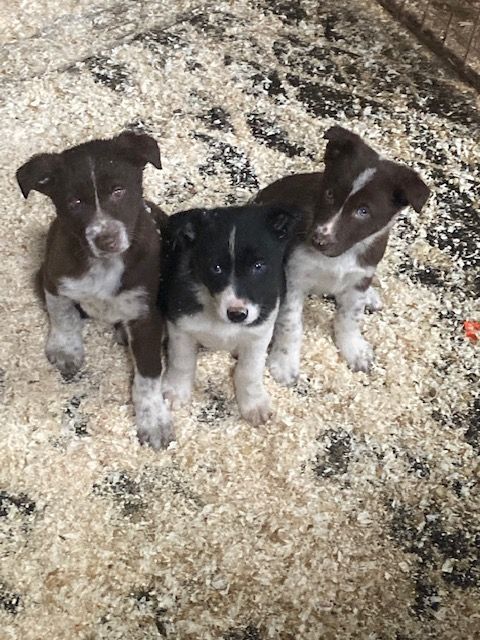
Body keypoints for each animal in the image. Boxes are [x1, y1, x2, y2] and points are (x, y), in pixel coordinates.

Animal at [16, 131, 174, 450]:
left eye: (119, 191)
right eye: (75, 202)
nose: (106, 239)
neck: (104, 265)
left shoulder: (145, 314)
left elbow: (149, 374)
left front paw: (153, 420)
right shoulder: (53, 276)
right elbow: (63, 314)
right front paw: (66, 349)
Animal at [159, 205, 298, 424]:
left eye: (258, 266)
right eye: (216, 268)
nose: (237, 314)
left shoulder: (259, 333)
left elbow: (249, 371)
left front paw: (254, 403)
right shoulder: (180, 326)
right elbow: (181, 361)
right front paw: (176, 390)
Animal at [255, 125, 432, 384]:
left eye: (363, 211)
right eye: (329, 194)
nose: (319, 240)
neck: (340, 256)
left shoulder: (360, 275)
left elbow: (350, 317)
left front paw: (355, 350)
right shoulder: (294, 277)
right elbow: (290, 324)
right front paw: (284, 363)